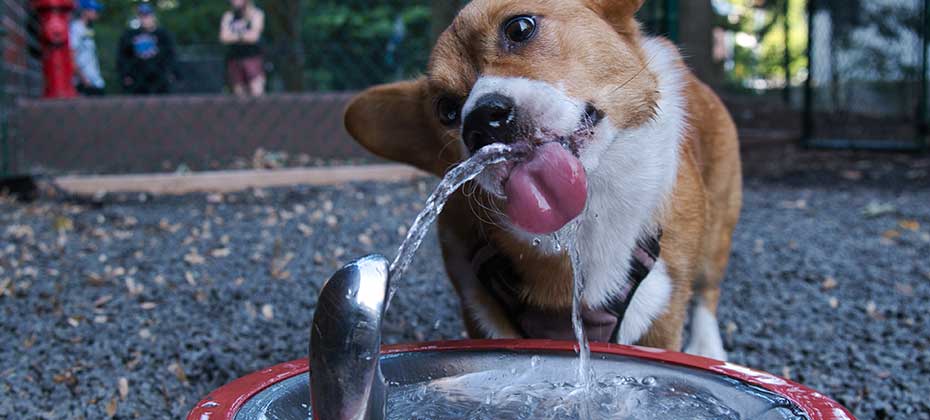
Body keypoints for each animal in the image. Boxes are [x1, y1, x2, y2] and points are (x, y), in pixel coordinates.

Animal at [340, 0, 740, 360]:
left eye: (519, 28)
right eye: (446, 110)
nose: (482, 122)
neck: (585, 219)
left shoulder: (663, 320)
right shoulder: (480, 314)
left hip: (717, 231)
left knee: (709, 290)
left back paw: (708, 346)